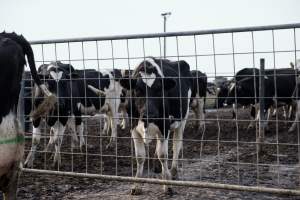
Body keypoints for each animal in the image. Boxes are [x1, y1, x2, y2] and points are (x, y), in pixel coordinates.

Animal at [119, 57, 192, 195]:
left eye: (159, 90)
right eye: (138, 90)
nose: (150, 114)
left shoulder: (164, 125)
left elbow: (163, 155)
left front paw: (167, 185)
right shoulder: (133, 127)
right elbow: (140, 157)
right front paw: (136, 185)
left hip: (183, 119)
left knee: (176, 144)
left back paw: (173, 172)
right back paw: (158, 168)